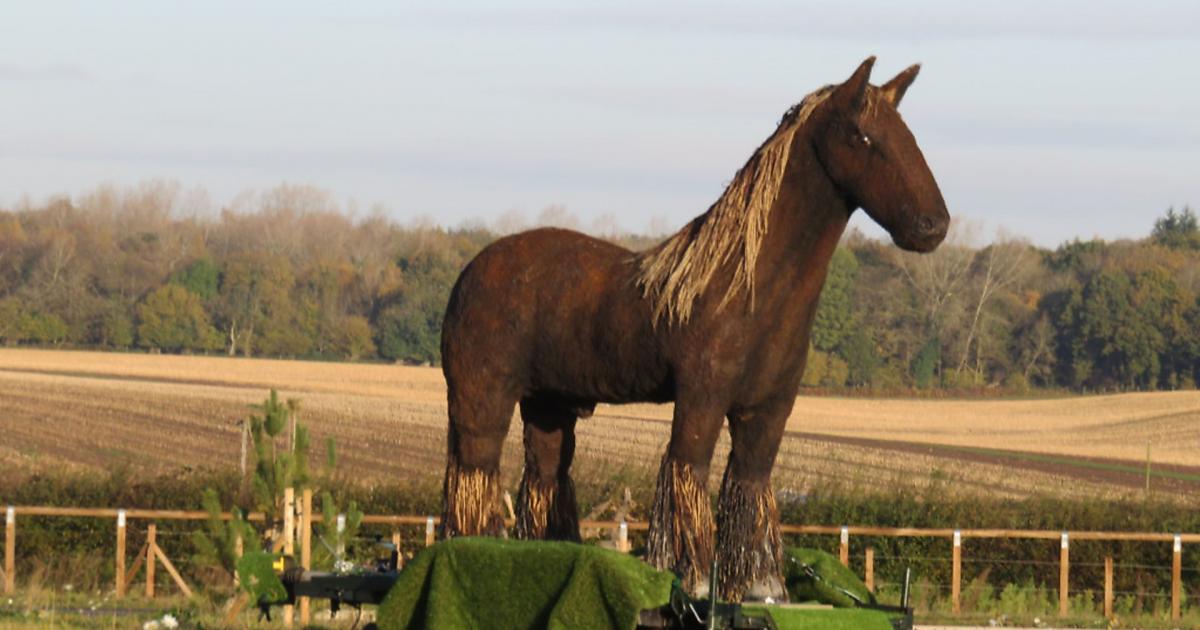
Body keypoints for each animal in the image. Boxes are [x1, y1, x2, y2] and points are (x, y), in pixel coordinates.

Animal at [438, 57, 949, 601]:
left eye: (908, 136)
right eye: (863, 136)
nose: (933, 226)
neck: (744, 286)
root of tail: (470, 273)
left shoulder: (767, 413)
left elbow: (749, 487)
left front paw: (762, 585)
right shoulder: (702, 399)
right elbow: (689, 473)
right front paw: (694, 578)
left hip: (548, 407)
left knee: (543, 478)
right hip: (483, 402)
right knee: (475, 473)